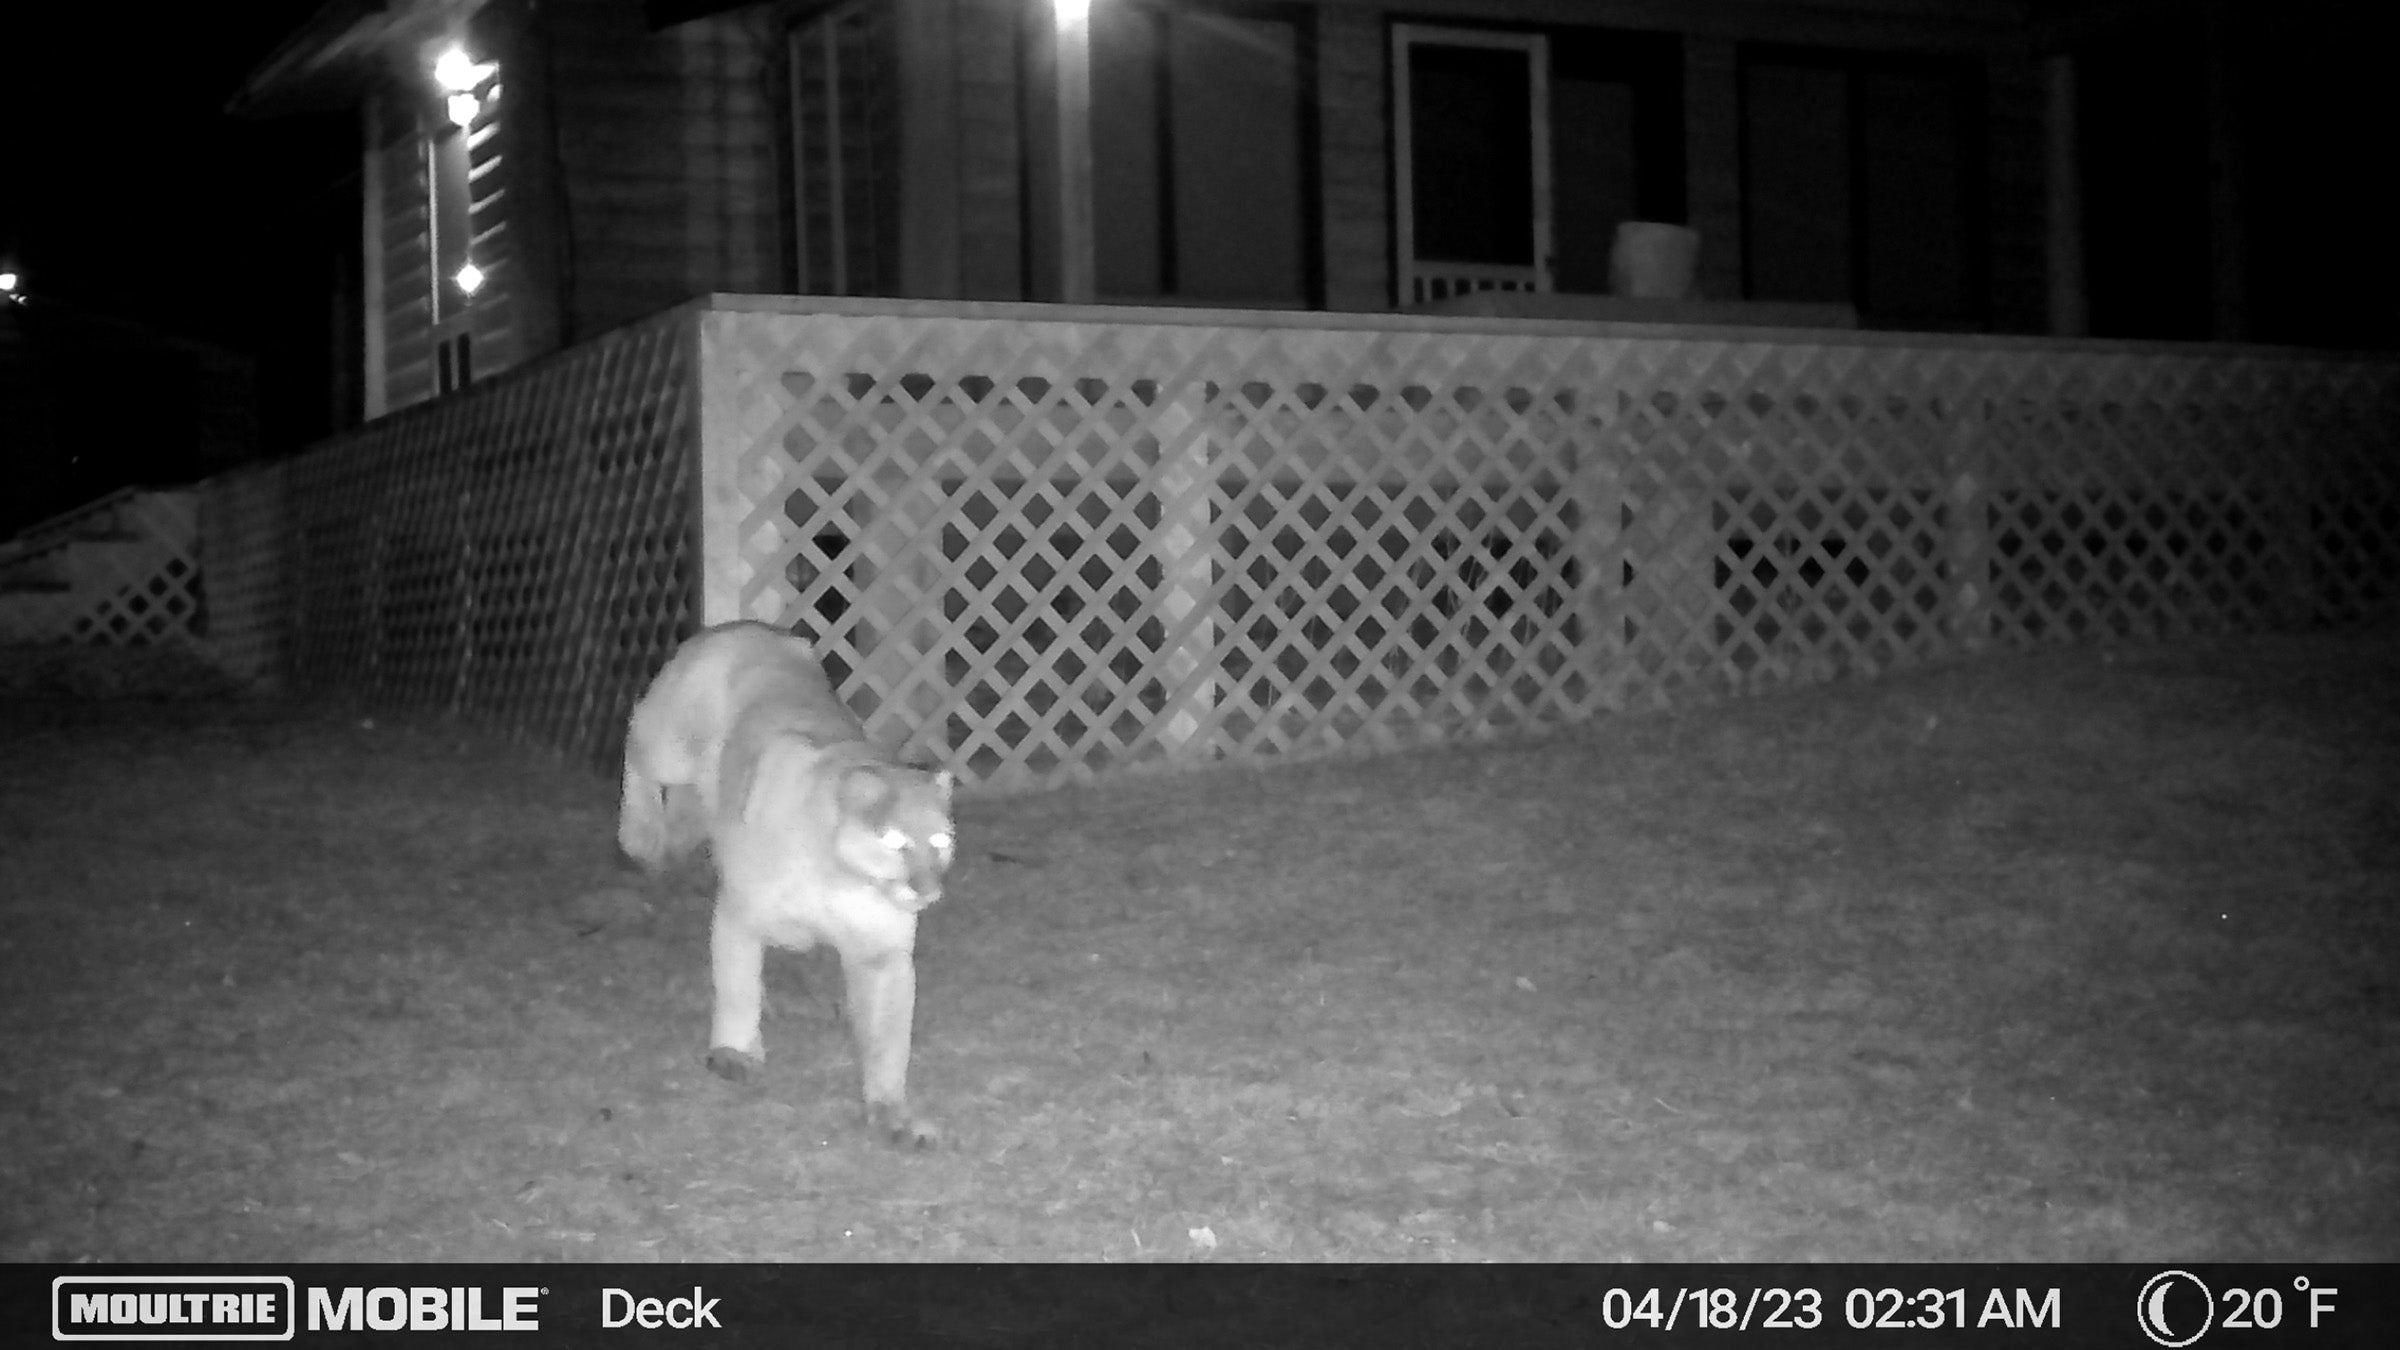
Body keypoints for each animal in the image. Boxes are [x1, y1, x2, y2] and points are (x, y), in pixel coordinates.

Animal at [619, 621, 955, 1148]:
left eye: (941, 841)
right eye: (895, 842)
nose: (926, 888)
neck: (841, 876)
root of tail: (748, 630)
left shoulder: (882, 954)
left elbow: (888, 1037)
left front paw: (892, 1113)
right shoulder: (739, 916)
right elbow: (736, 987)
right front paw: (735, 1052)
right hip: (670, 743)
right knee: (636, 738)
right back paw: (639, 833)